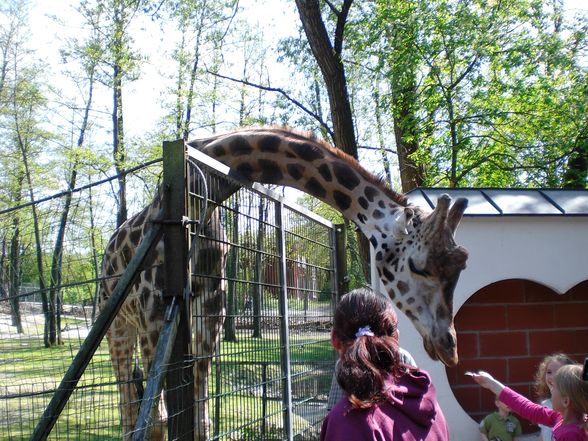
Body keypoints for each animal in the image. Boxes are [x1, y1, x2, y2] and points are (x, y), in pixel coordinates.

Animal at [100, 124, 468, 440]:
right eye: (419, 267)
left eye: (461, 267)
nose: (449, 347)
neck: (200, 193)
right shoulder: (155, 312)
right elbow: (157, 421)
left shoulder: (211, 311)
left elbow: (200, 420)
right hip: (118, 325)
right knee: (127, 402)